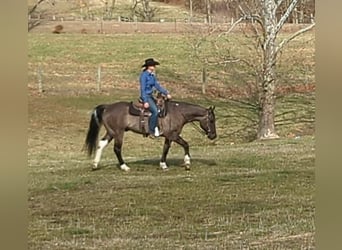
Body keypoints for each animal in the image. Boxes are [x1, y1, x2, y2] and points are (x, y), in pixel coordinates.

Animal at [84, 96, 216, 171]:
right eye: (211, 120)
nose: (213, 135)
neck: (177, 113)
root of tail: (107, 107)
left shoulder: (168, 137)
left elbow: (165, 149)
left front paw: (163, 164)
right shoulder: (172, 135)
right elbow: (185, 144)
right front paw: (187, 163)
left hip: (111, 132)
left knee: (101, 144)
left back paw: (95, 165)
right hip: (118, 133)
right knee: (117, 149)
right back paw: (124, 166)